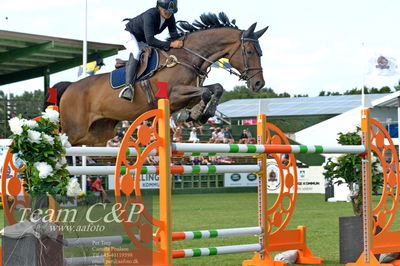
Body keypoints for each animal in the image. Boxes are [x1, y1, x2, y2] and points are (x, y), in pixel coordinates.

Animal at [50, 11, 268, 145]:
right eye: (249, 51)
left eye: (260, 52)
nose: (259, 83)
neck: (187, 58)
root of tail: (70, 87)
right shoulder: (174, 94)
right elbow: (207, 91)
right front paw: (195, 115)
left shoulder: (190, 94)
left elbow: (215, 89)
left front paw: (198, 114)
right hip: (74, 130)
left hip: (97, 134)